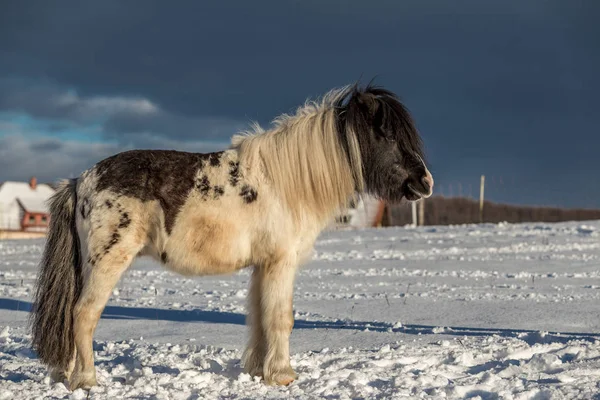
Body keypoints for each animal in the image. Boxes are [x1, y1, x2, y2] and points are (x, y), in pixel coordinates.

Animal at [30, 82, 434, 390]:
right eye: (387, 134)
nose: (425, 182)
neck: (288, 183)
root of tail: (81, 181)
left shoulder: (263, 266)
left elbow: (259, 318)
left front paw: (258, 371)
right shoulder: (280, 263)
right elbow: (281, 318)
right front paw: (284, 376)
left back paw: (67, 375)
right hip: (107, 262)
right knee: (83, 315)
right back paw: (85, 380)